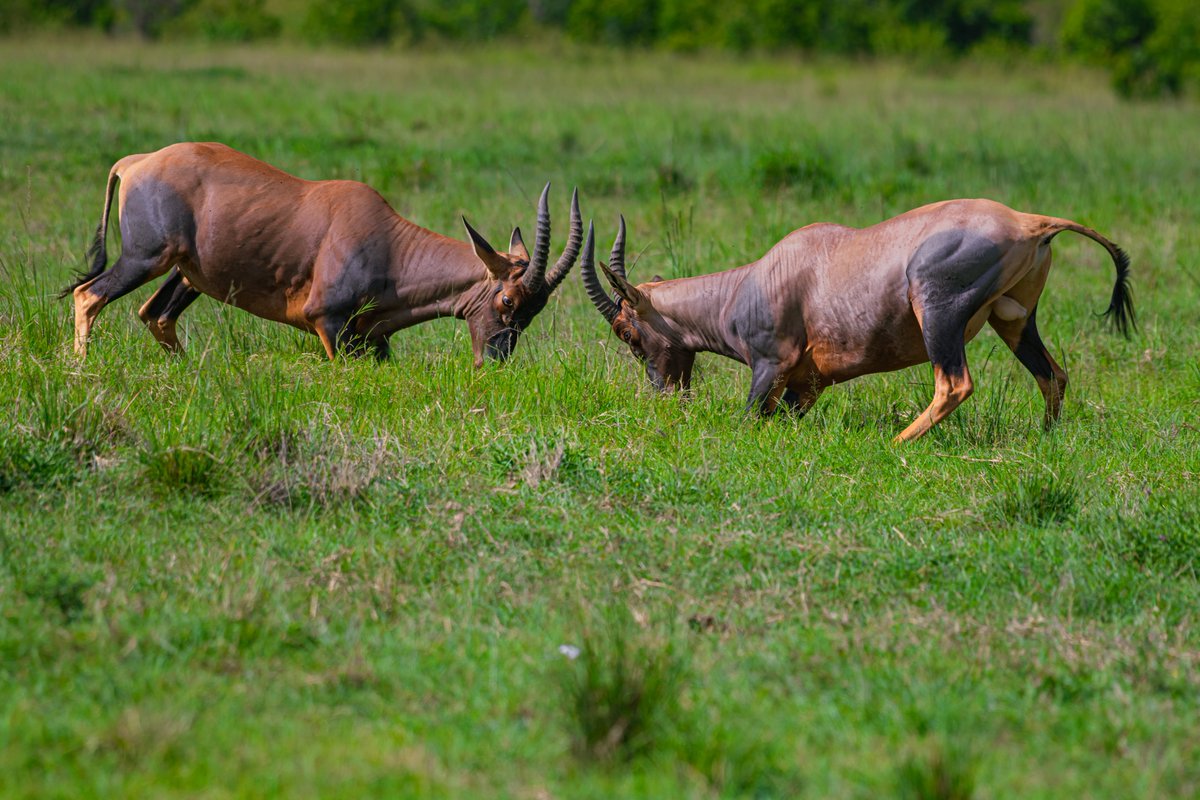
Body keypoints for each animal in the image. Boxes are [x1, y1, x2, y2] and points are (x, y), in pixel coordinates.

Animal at [63, 142, 583, 364]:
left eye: (534, 311)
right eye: (507, 299)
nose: (492, 362)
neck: (384, 238)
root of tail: (135, 163)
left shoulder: (373, 341)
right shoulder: (327, 325)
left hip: (187, 274)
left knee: (154, 315)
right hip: (145, 259)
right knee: (89, 295)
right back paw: (83, 368)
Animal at [580, 197, 1132, 441]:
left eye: (626, 331)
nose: (666, 396)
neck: (753, 280)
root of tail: (1029, 222)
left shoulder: (770, 366)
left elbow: (749, 418)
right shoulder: (807, 386)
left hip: (937, 312)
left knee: (954, 383)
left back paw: (897, 443)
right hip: (1015, 320)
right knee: (1053, 374)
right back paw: (1046, 438)